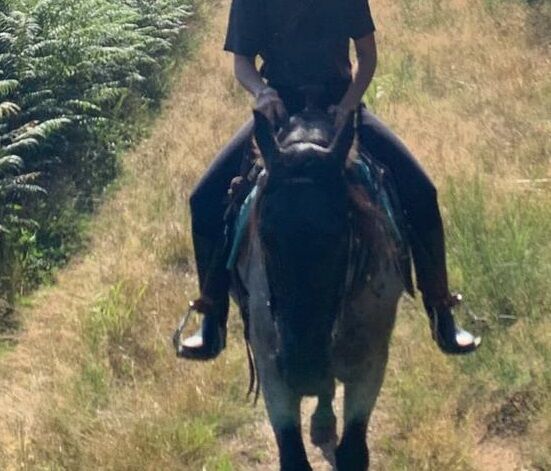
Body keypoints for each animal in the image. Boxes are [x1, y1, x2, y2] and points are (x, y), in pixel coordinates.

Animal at [234, 108, 410, 471]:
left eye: (342, 235)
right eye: (265, 238)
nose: (304, 370)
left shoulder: (371, 363)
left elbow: (353, 454)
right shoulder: (272, 371)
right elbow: (293, 458)